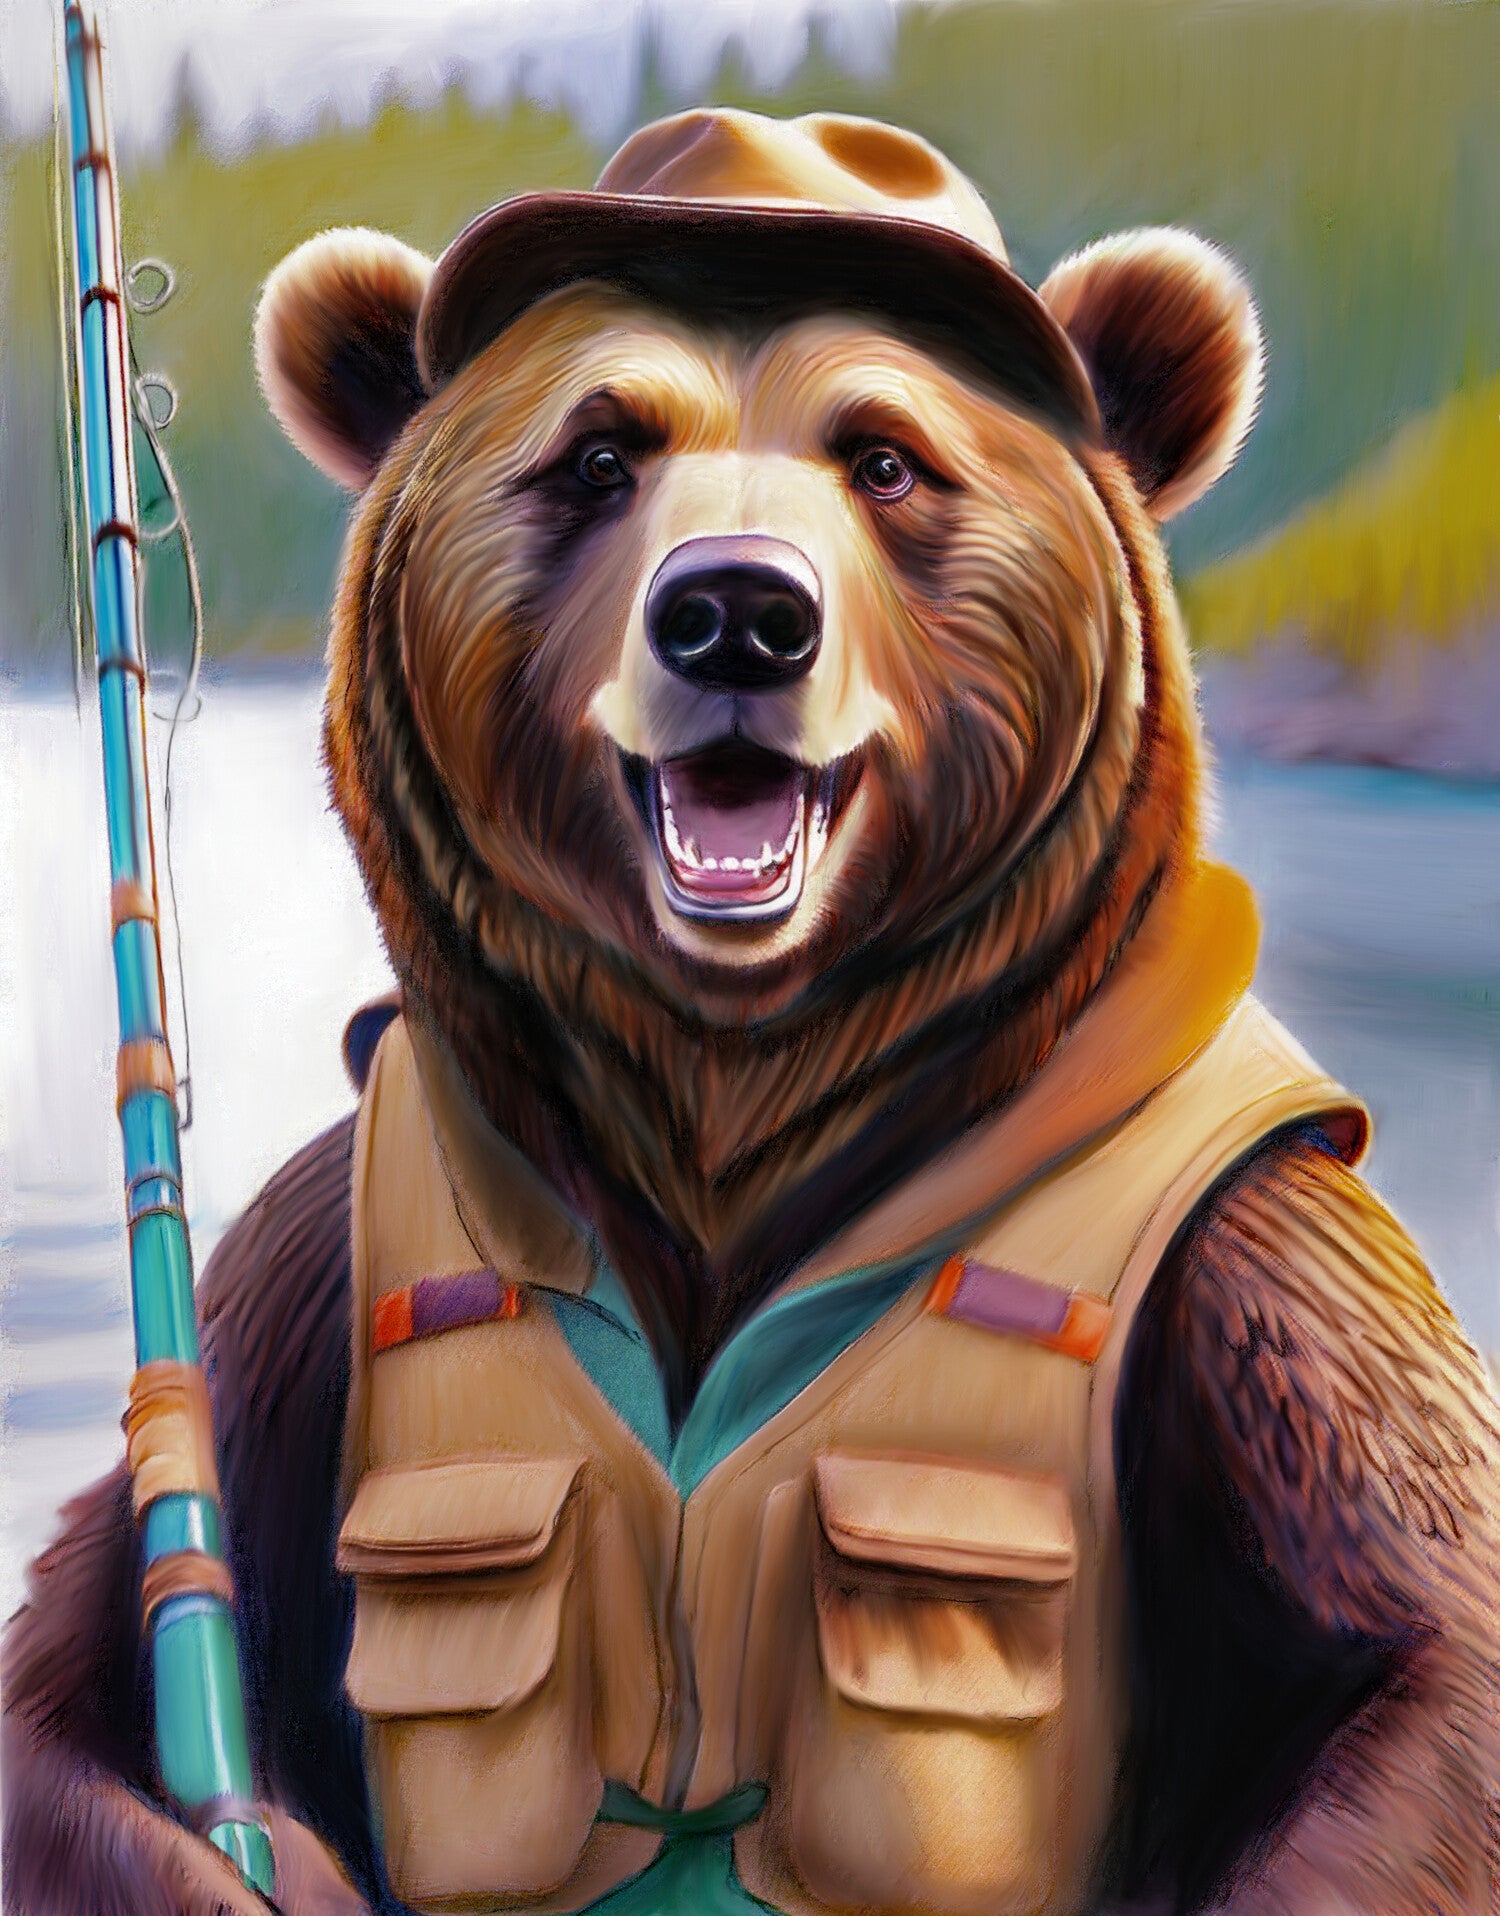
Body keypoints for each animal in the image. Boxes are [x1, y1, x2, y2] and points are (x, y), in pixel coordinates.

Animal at [5, 107, 1499, 1916]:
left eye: (886, 456)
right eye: (597, 454)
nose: (736, 611)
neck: (738, 1091)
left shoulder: (1261, 1268)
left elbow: (1424, 1668)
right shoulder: (312, 1255)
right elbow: (74, 1677)